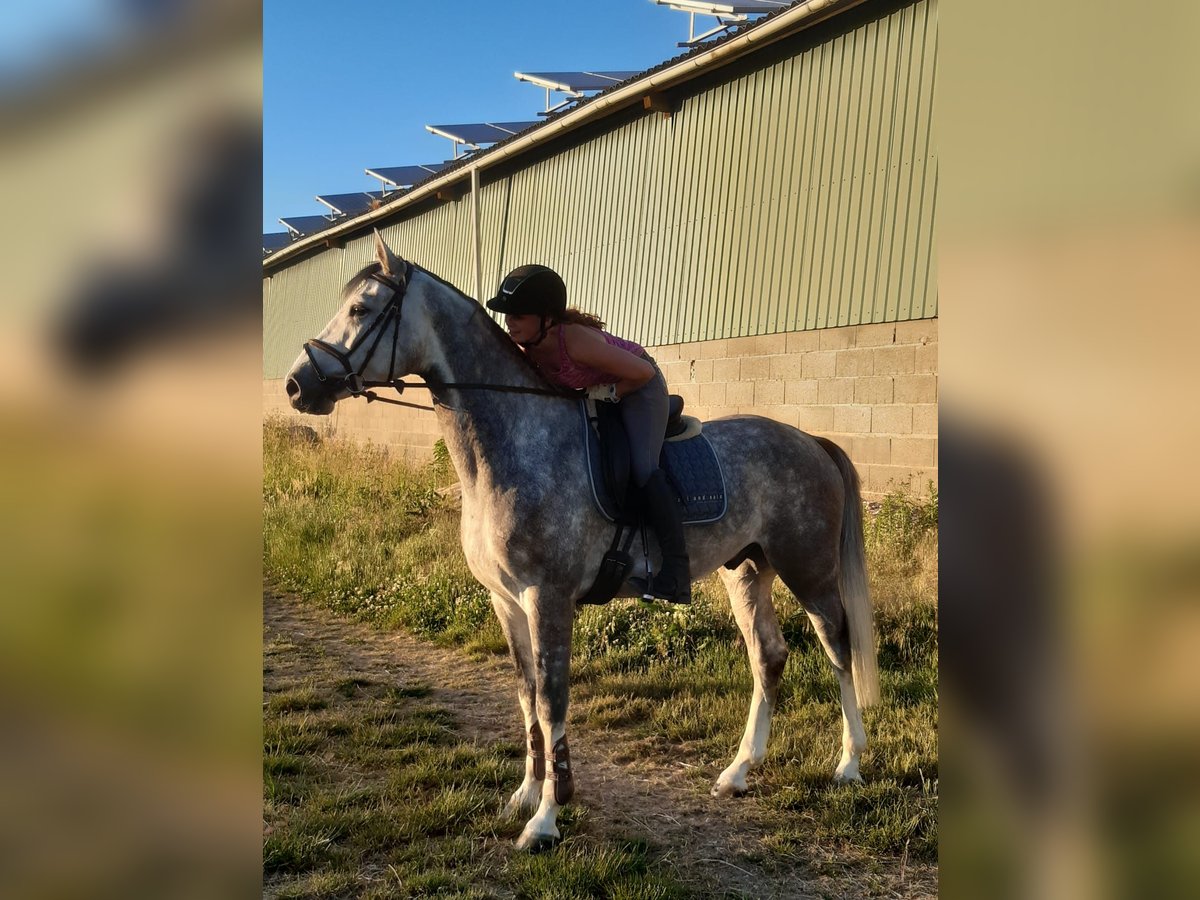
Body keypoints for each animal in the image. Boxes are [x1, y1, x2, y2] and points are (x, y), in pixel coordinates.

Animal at [283, 230, 883, 854]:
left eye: (360, 309)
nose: (297, 385)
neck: (515, 443)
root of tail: (810, 440)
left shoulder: (547, 598)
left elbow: (552, 701)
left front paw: (547, 818)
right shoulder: (506, 601)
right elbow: (526, 695)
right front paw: (525, 794)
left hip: (808, 568)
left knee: (839, 649)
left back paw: (849, 764)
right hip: (746, 570)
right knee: (768, 657)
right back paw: (739, 771)